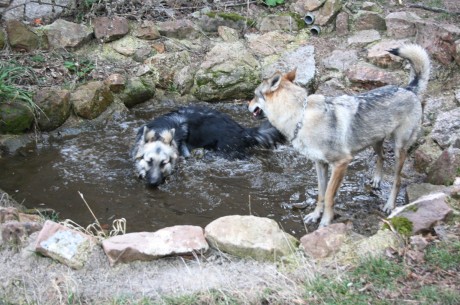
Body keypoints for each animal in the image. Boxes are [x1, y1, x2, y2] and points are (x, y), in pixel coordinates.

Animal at [248, 44, 432, 227]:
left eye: (254, 95)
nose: (247, 105)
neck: (301, 116)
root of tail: (408, 88)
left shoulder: (341, 163)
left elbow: (329, 195)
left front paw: (325, 222)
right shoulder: (320, 164)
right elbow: (321, 193)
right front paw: (315, 215)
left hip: (399, 148)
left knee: (397, 180)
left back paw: (389, 205)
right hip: (374, 141)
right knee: (382, 157)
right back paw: (376, 180)